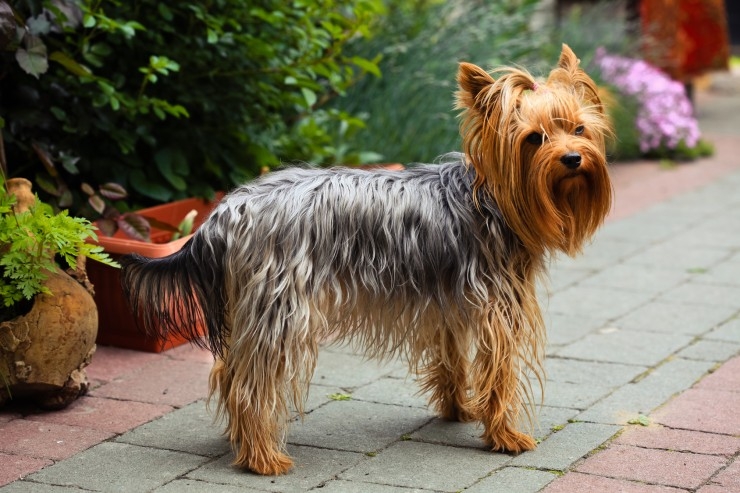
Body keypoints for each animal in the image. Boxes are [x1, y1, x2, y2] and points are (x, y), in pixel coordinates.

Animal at [121, 44, 608, 474]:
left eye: (579, 130)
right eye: (534, 139)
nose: (572, 158)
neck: (492, 200)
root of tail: (226, 212)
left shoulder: (449, 304)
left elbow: (453, 360)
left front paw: (459, 409)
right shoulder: (498, 310)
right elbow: (500, 374)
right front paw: (505, 435)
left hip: (252, 307)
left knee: (229, 370)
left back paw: (240, 441)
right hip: (283, 308)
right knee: (251, 384)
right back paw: (263, 459)